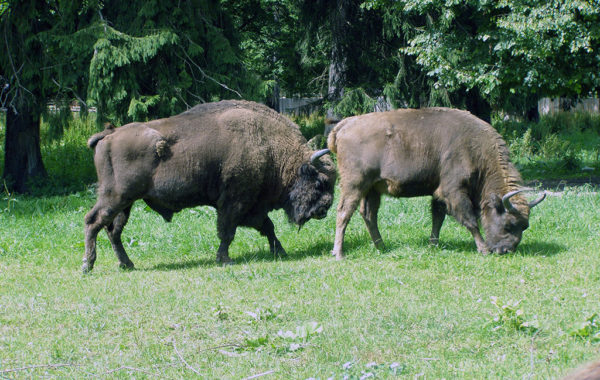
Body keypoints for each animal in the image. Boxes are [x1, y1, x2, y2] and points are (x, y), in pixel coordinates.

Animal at [82, 100, 336, 274]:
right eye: (320, 181)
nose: (324, 209)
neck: (272, 148)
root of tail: (109, 135)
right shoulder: (234, 202)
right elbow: (228, 231)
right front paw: (225, 259)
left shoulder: (253, 206)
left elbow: (267, 227)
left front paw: (280, 251)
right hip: (115, 197)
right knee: (93, 221)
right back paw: (88, 265)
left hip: (126, 203)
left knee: (113, 230)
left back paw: (127, 264)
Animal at [326, 108, 548, 260]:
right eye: (509, 224)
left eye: (525, 226)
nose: (506, 250)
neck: (476, 148)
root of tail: (344, 125)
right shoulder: (453, 191)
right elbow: (470, 220)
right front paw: (483, 249)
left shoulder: (438, 193)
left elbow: (437, 218)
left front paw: (433, 245)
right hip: (355, 185)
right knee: (344, 213)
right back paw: (339, 254)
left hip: (373, 189)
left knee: (368, 215)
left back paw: (381, 247)